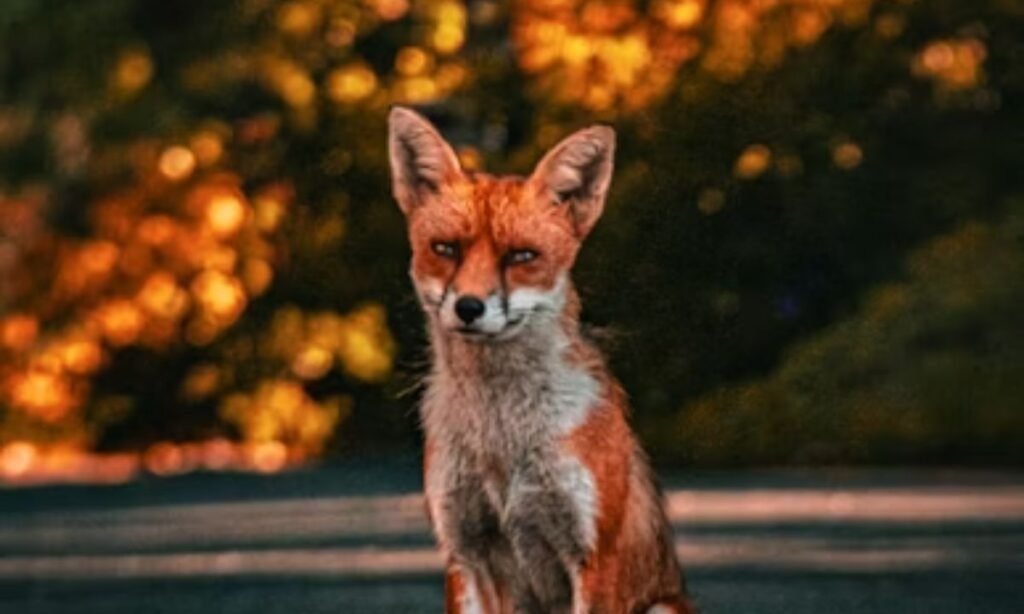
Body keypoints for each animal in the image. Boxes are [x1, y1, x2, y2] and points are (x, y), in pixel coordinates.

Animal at [388, 106, 695, 614]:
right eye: (446, 249)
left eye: (521, 256)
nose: (469, 307)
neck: (501, 436)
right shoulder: (464, 552)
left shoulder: (592, 553)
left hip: (662, 607)